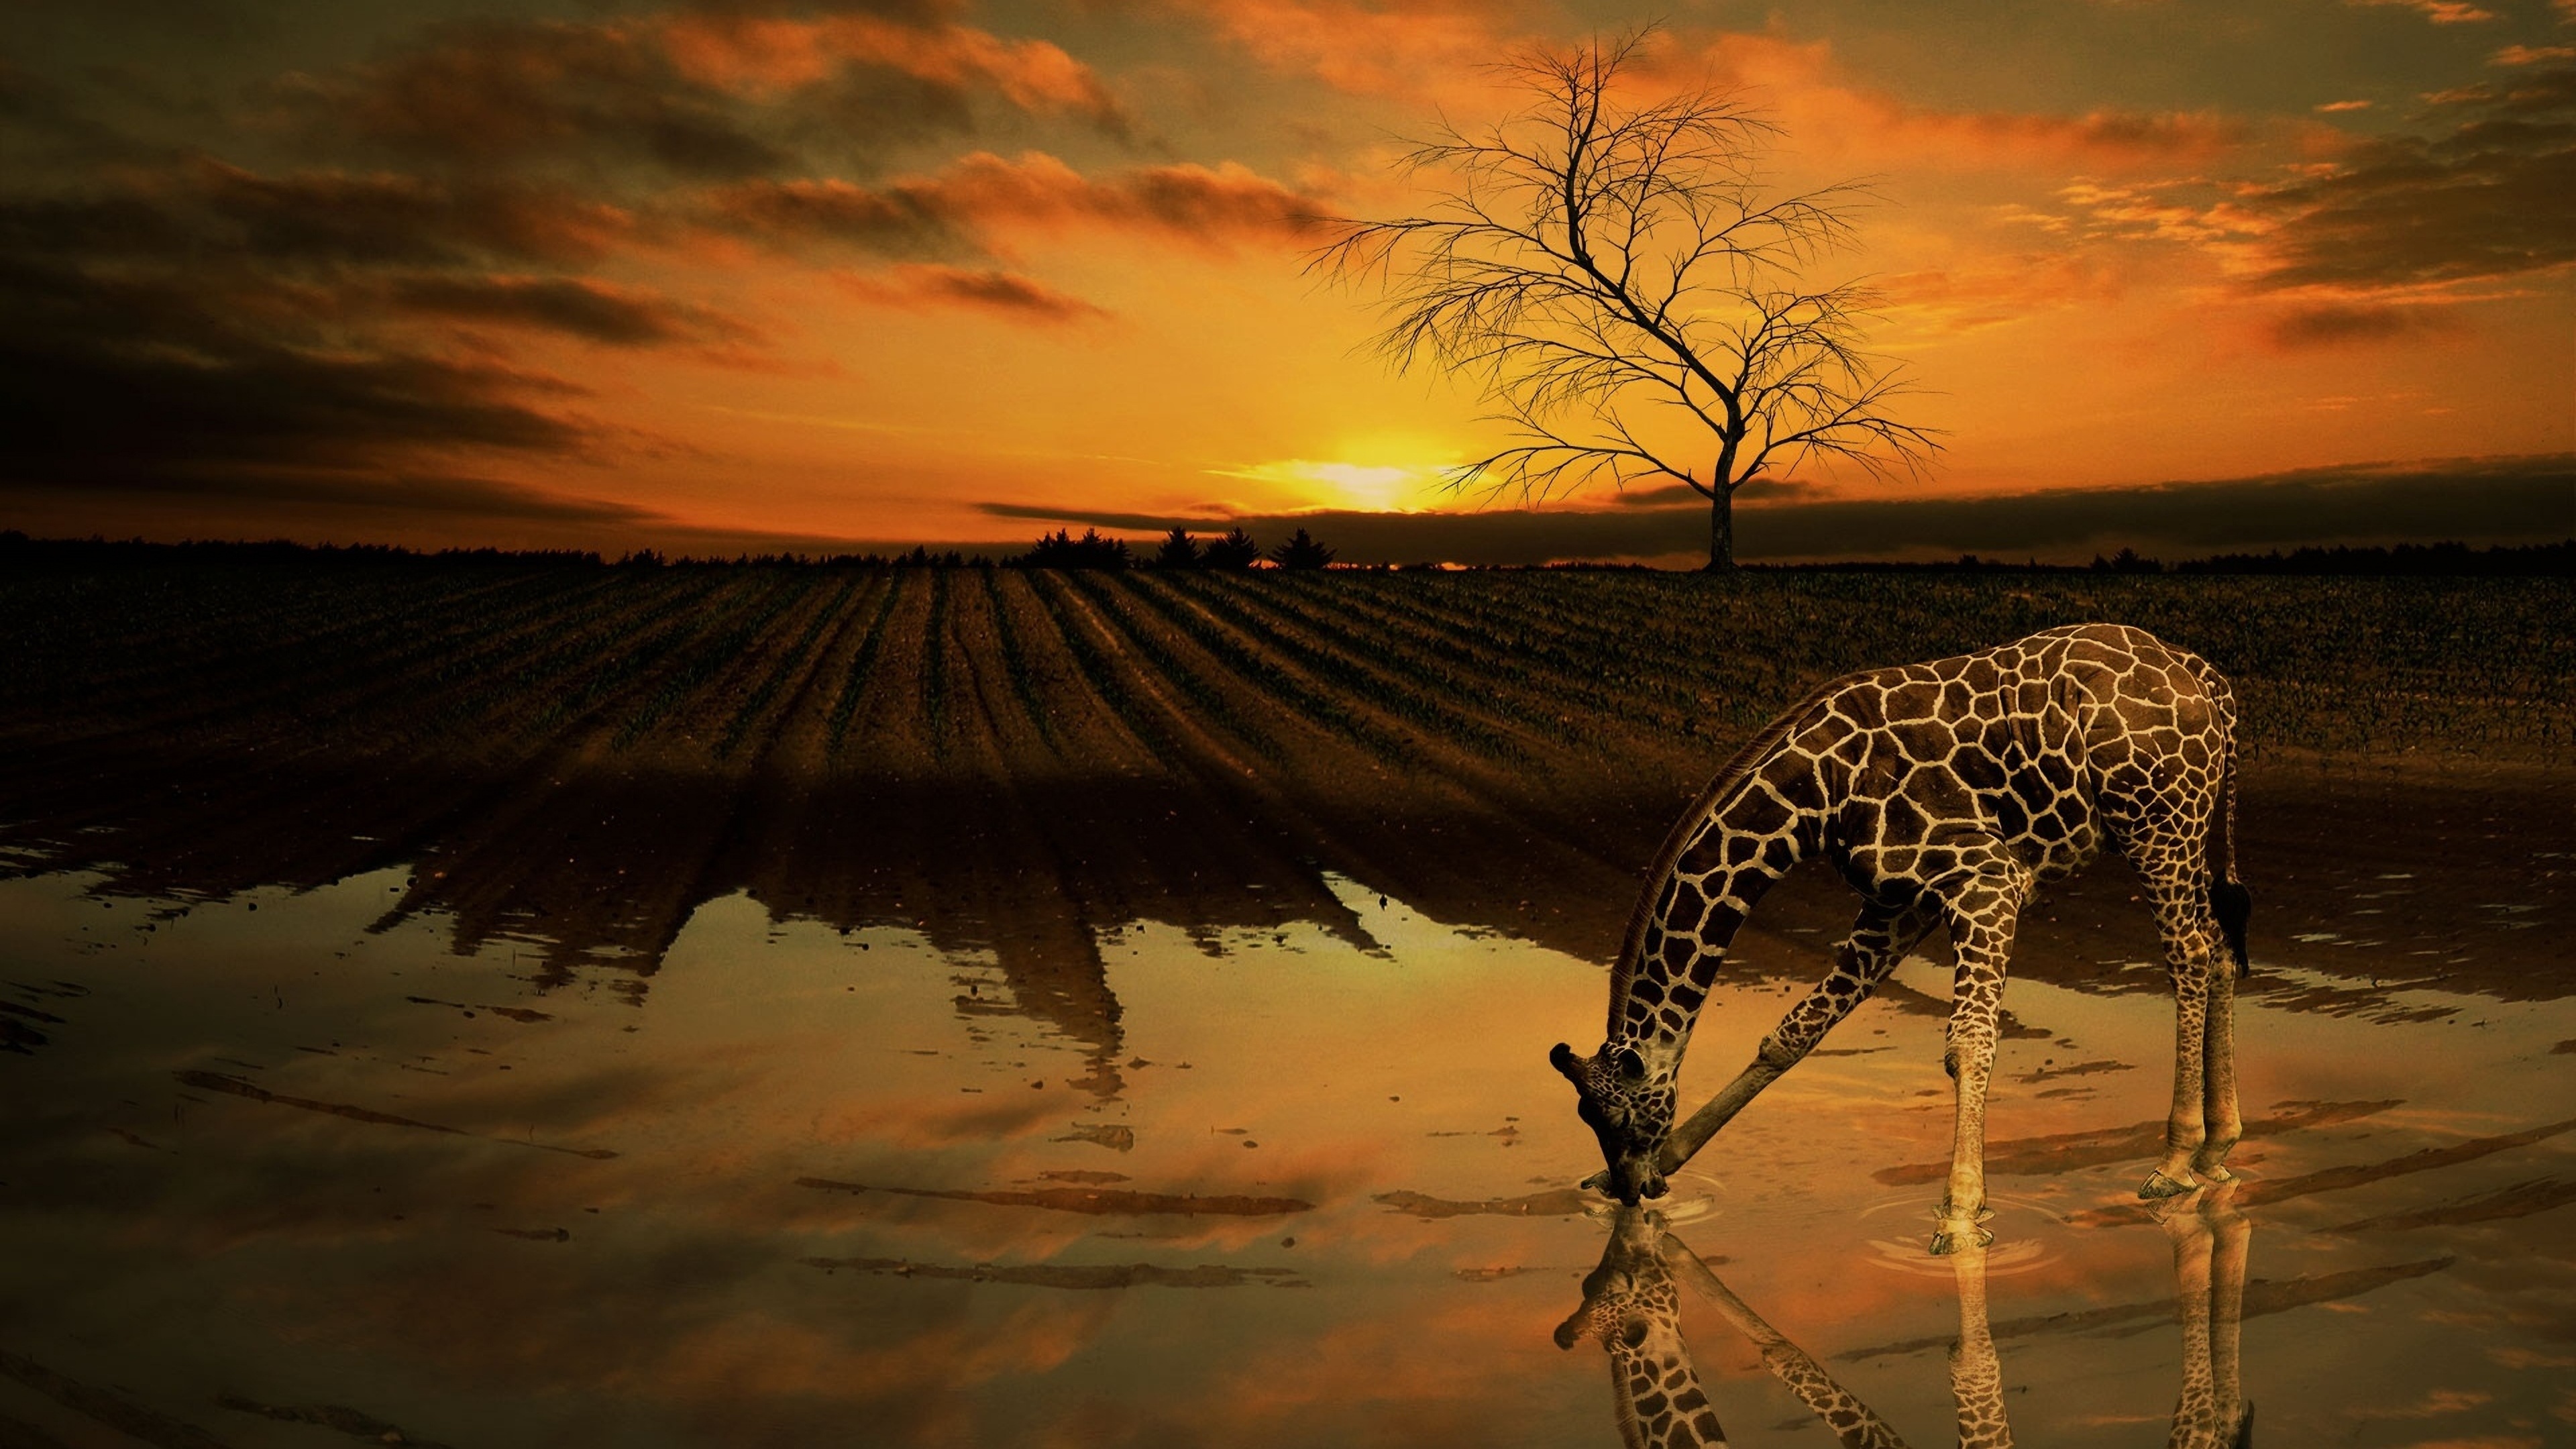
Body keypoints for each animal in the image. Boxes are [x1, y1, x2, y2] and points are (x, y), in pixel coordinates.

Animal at [1552, 624, 2252, 1253]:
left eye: (1613, 1116)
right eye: (1587, 1119)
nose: (1634, 1188)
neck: (1816, 797)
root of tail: (2210, 681)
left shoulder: (1987, 876)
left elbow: (1969, 1042)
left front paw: (1961, 1217)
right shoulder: (1897, 902)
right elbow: (1793, 1035)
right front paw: (1655, 1165)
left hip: (2155, 825)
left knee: (2189, 952)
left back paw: (2174, 1160)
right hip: (2182, 828)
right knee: (2218, 945)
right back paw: (2217, 1149)